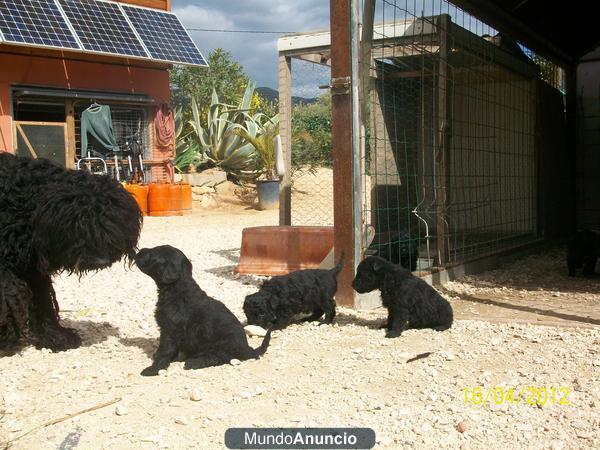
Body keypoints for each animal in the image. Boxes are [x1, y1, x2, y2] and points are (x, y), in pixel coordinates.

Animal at [0, 154, 141, 352]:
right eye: (76, 227)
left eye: (109, 224)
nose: (100, 260)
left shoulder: (32, 269)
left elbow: (43, 302)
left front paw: (55, 337)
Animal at [135, 246, 272, 376]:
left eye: (153, 253)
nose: (138, 251)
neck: (177, 289)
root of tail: (247, 349)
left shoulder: (170, 330)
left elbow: (164, 351)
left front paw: (154, 369)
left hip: (222, 343)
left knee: (221, 357)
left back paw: (195, 362)